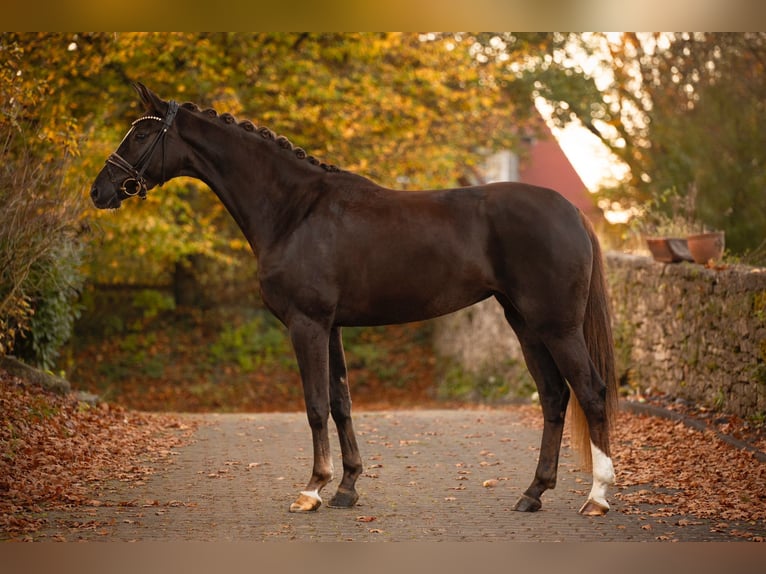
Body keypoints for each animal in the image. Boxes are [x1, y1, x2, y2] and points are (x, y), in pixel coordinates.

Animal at [88, 83, 616, 520]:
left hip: (556, 326)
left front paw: (312, 489)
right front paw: (347, 488)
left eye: (140, 134)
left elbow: (316, 404)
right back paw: (533, 493)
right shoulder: (333, 327)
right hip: (524, 323)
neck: (295, 210)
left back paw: (596, 498)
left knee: (590, 392)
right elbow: (341, 402)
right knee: (554, 396)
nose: (100, 190)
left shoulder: (307, 324)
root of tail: (571, 210)